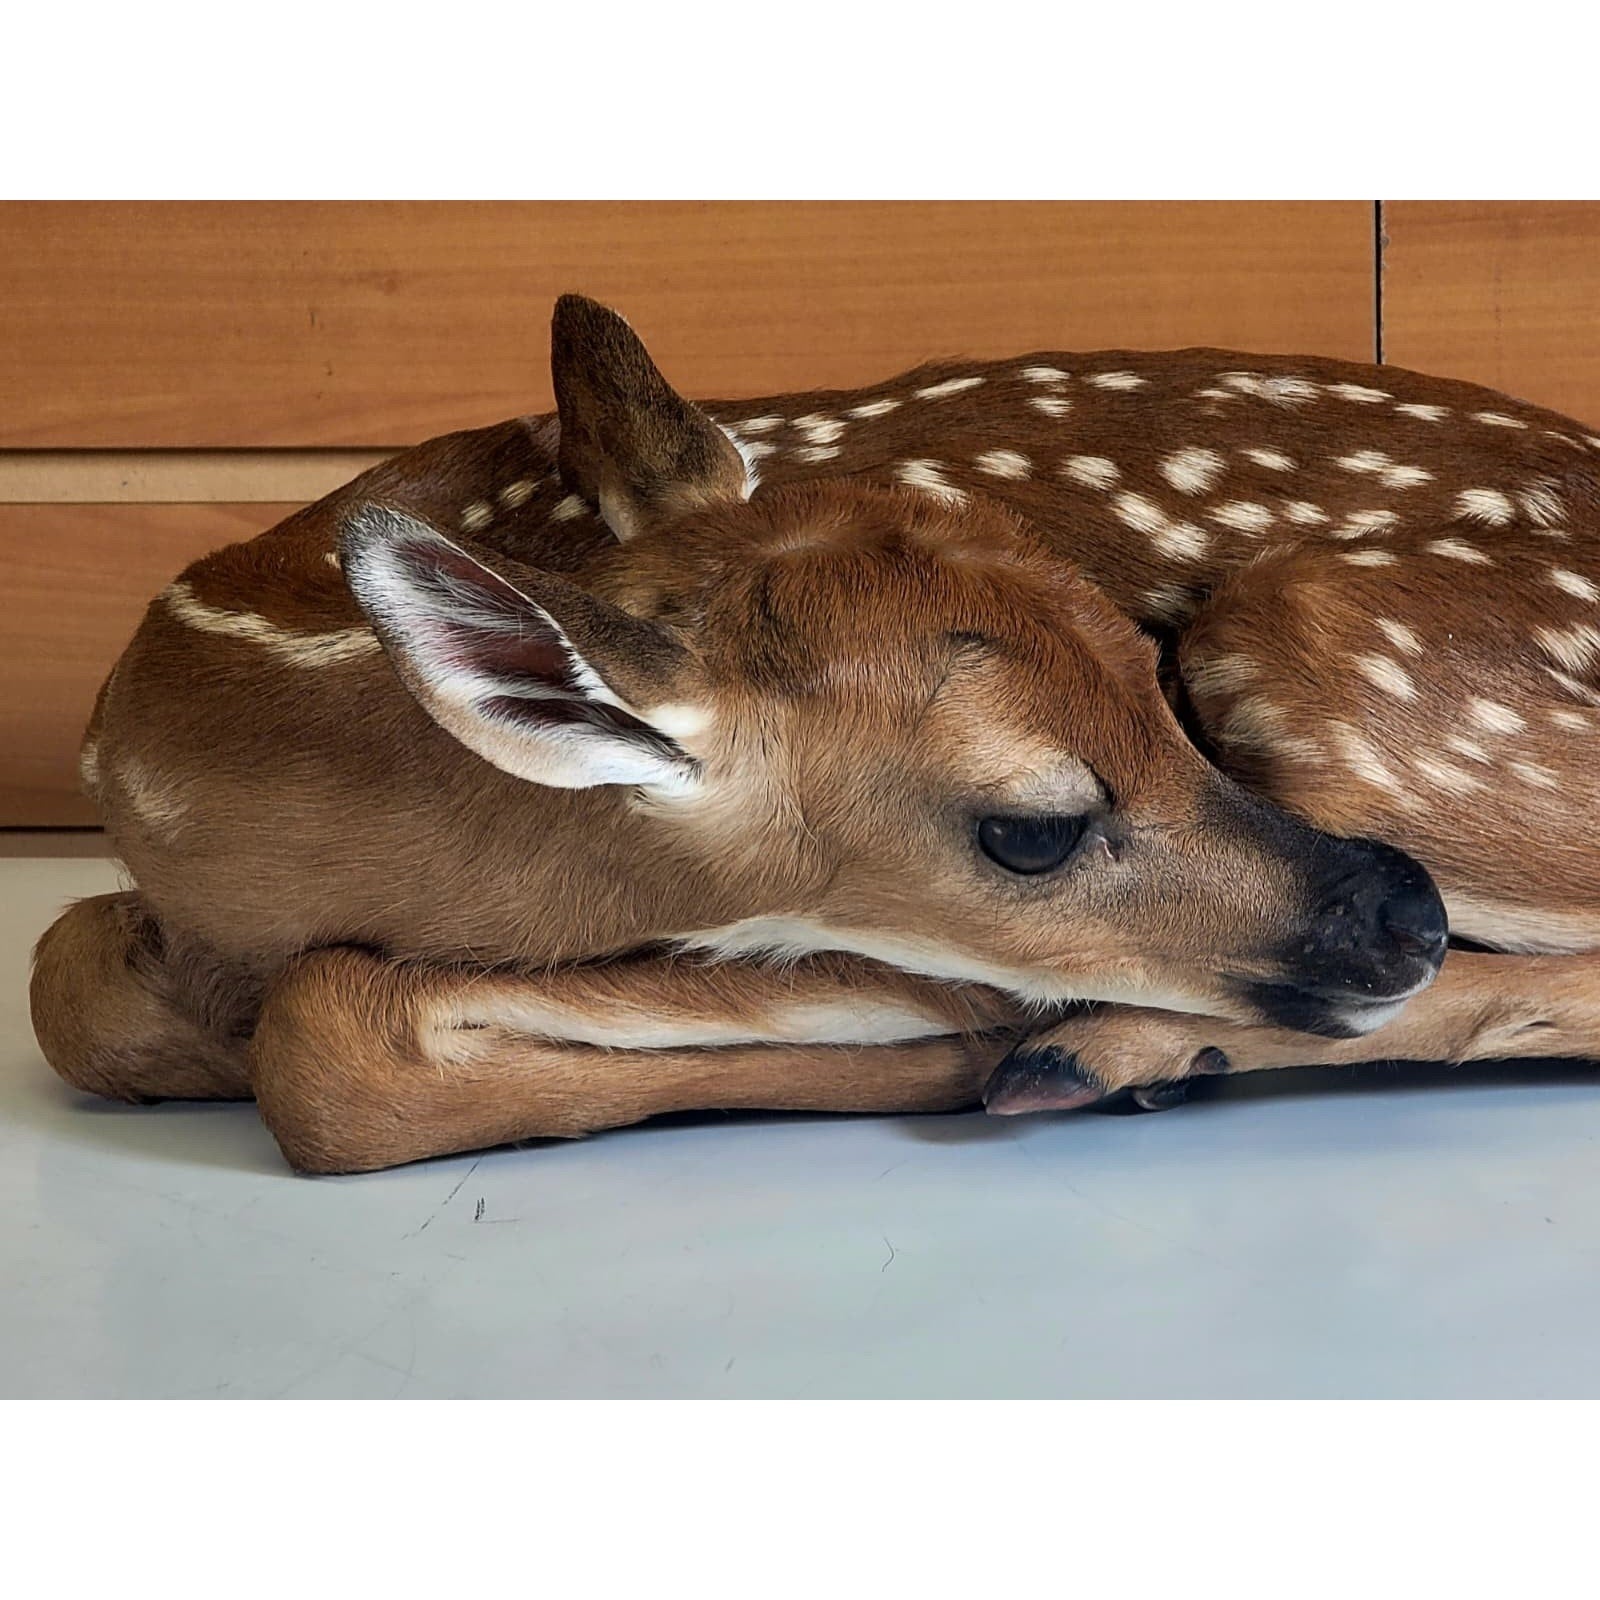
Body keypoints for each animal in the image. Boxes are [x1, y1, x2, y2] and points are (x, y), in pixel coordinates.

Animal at [30, 293, 1600, 1174]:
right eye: (1030, 829)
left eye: (1146, 658)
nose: (1404, 909)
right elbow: (69, 981)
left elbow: (324, 1042)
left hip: (1325, 650)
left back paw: (1109, 1056)